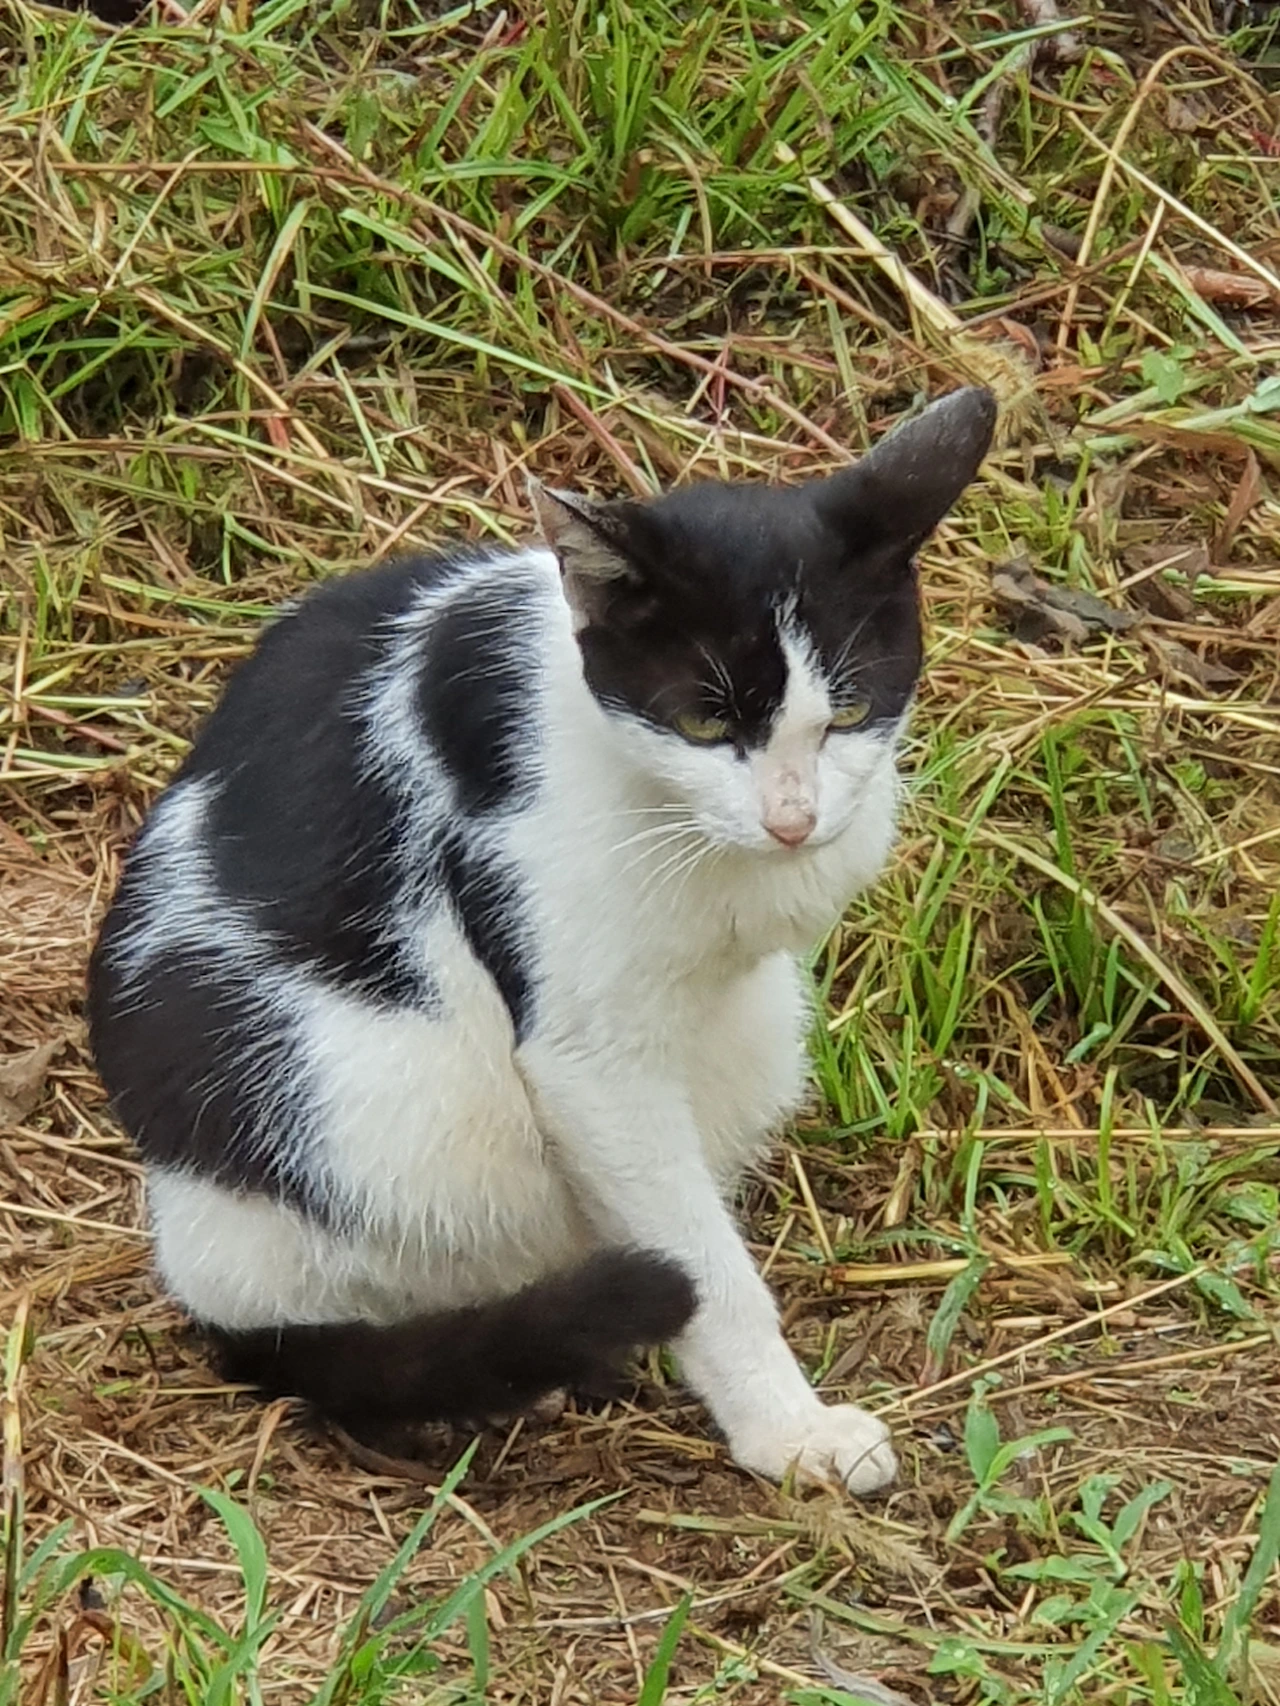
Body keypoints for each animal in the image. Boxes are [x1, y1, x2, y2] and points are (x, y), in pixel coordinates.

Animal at [88, 385, 996, 1495]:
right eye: (703, 724)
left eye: (852, 711)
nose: (791, 820)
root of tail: (184, 1235)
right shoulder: (585, 1055)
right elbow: (703, 1263)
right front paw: (788, 1430)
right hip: (358, 1107)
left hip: (753, 1029)